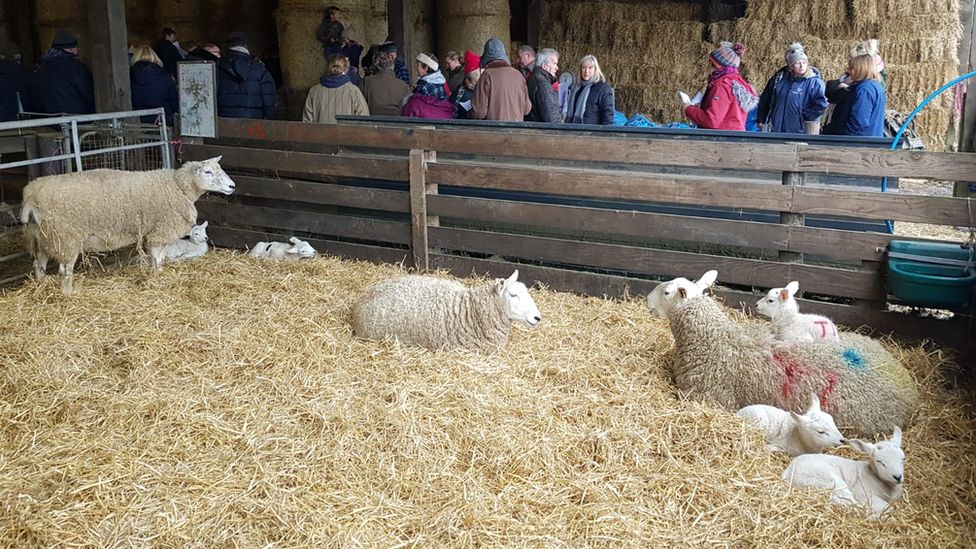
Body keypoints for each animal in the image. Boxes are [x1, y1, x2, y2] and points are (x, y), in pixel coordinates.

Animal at [20, 156, 234, 294]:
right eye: (208, 171)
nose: (232, 186)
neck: (178, 186)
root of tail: (31, 194)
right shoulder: (160, 231)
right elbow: (158, 258)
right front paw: (159, 276)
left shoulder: (153, 232)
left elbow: (156, 258)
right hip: (65, 238)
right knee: (64, 271)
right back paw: (68, 294)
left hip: (42, 237)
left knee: (38, 264)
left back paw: (42, 286)